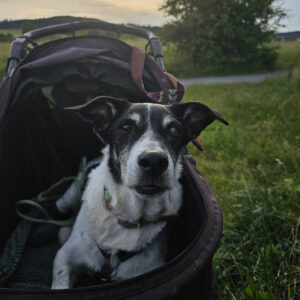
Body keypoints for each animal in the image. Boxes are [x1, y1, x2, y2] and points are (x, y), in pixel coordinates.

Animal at [51, 96, 227, 288]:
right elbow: (60, 283)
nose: (154, 161)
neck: (129, 217)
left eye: (174, 129)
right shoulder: (64, 258)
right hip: (67, 198)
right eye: (126, 127)